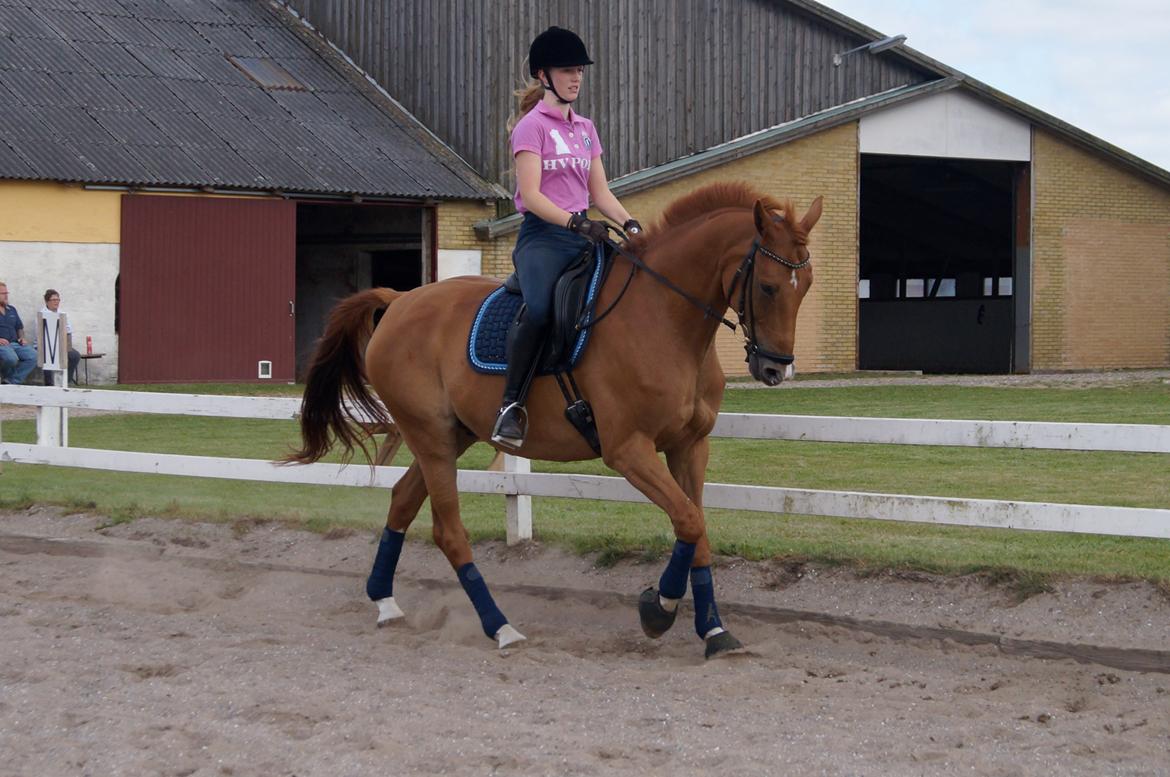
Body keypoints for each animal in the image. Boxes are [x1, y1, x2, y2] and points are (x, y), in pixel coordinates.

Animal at [291, 183, 823, 659]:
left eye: (808, 288)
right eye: (768, 287)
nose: (776, 370)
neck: (665, 319)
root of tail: (401, 300)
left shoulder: (689, 446)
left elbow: (699, 531)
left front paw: (714, 631)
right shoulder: (628, 450)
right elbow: (690, 521)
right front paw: (659, 609)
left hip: (449, 436)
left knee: (402, 500)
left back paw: (385, 601)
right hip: (432, 437)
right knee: (449, 532)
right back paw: (500, 628)